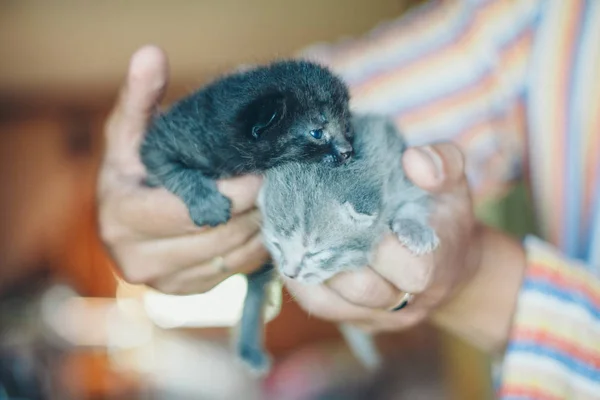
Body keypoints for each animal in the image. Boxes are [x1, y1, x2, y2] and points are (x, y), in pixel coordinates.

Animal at [141, 57, 354, 227]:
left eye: (346, 128)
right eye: (317, 133)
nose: (348, 151)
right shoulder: (158, 145)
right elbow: (180, 173)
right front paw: (209, 206)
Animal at [241, 111, 438, 372]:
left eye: (314, 253)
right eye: (276, 244)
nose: (289, 273)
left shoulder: (401, 175)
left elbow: (415, 202)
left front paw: (416, 231)